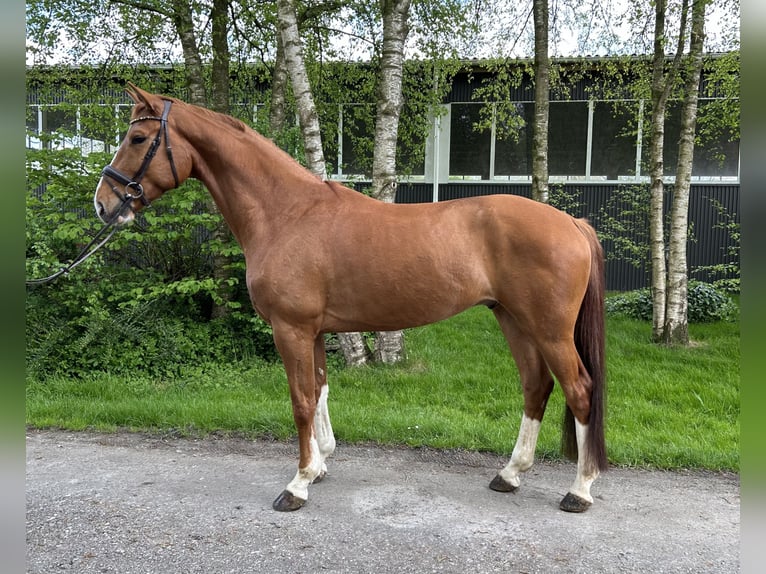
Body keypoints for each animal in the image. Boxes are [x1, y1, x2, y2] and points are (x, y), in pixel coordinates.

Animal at [93, 85, 608, 516]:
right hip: (513, 320)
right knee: (536, 386)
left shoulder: (291, 329)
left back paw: (579, 491)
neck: (287, 213)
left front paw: (297, 484)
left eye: (137, 137)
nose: (103, 203)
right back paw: (510, 474)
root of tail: (571, 222)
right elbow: (320, 390)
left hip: (548, 328)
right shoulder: (315, 331)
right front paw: (319, 465)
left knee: (580, 389)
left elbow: (300, 399)